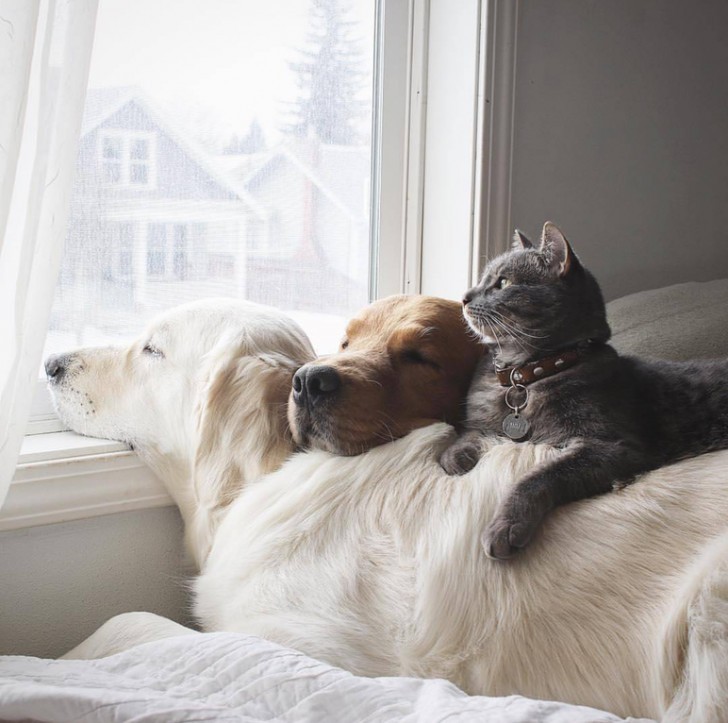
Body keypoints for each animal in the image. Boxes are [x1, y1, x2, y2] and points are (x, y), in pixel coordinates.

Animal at [440, 223, 728, 564]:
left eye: (504, 282)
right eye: (484, 279)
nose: (464, 297)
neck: (524, 376)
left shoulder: (614, 447)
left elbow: (538, 476)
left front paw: (506, 525)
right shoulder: (481, 424)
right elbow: (465, 438)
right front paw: (457, 458)